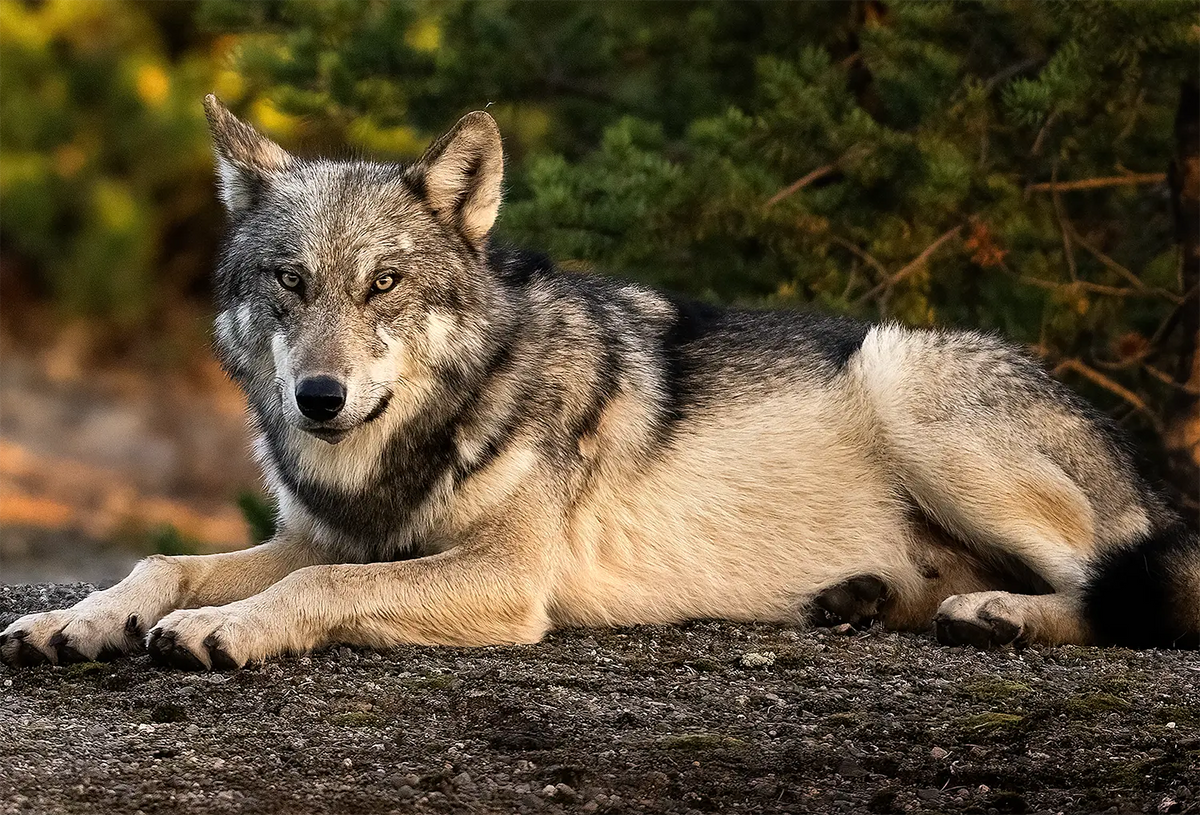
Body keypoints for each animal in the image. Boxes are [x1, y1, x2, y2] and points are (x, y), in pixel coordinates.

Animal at [2, 95, 1197, 670]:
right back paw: (866, 601)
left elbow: (310, 595)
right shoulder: (326, 535)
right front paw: (83, 618)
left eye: (384, 282)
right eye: (291, 282)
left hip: (908, 383)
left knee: (1138, 589)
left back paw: (996, 613)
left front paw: (227, 629)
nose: (320, 399)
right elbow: (166, 561)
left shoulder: (500, 577)